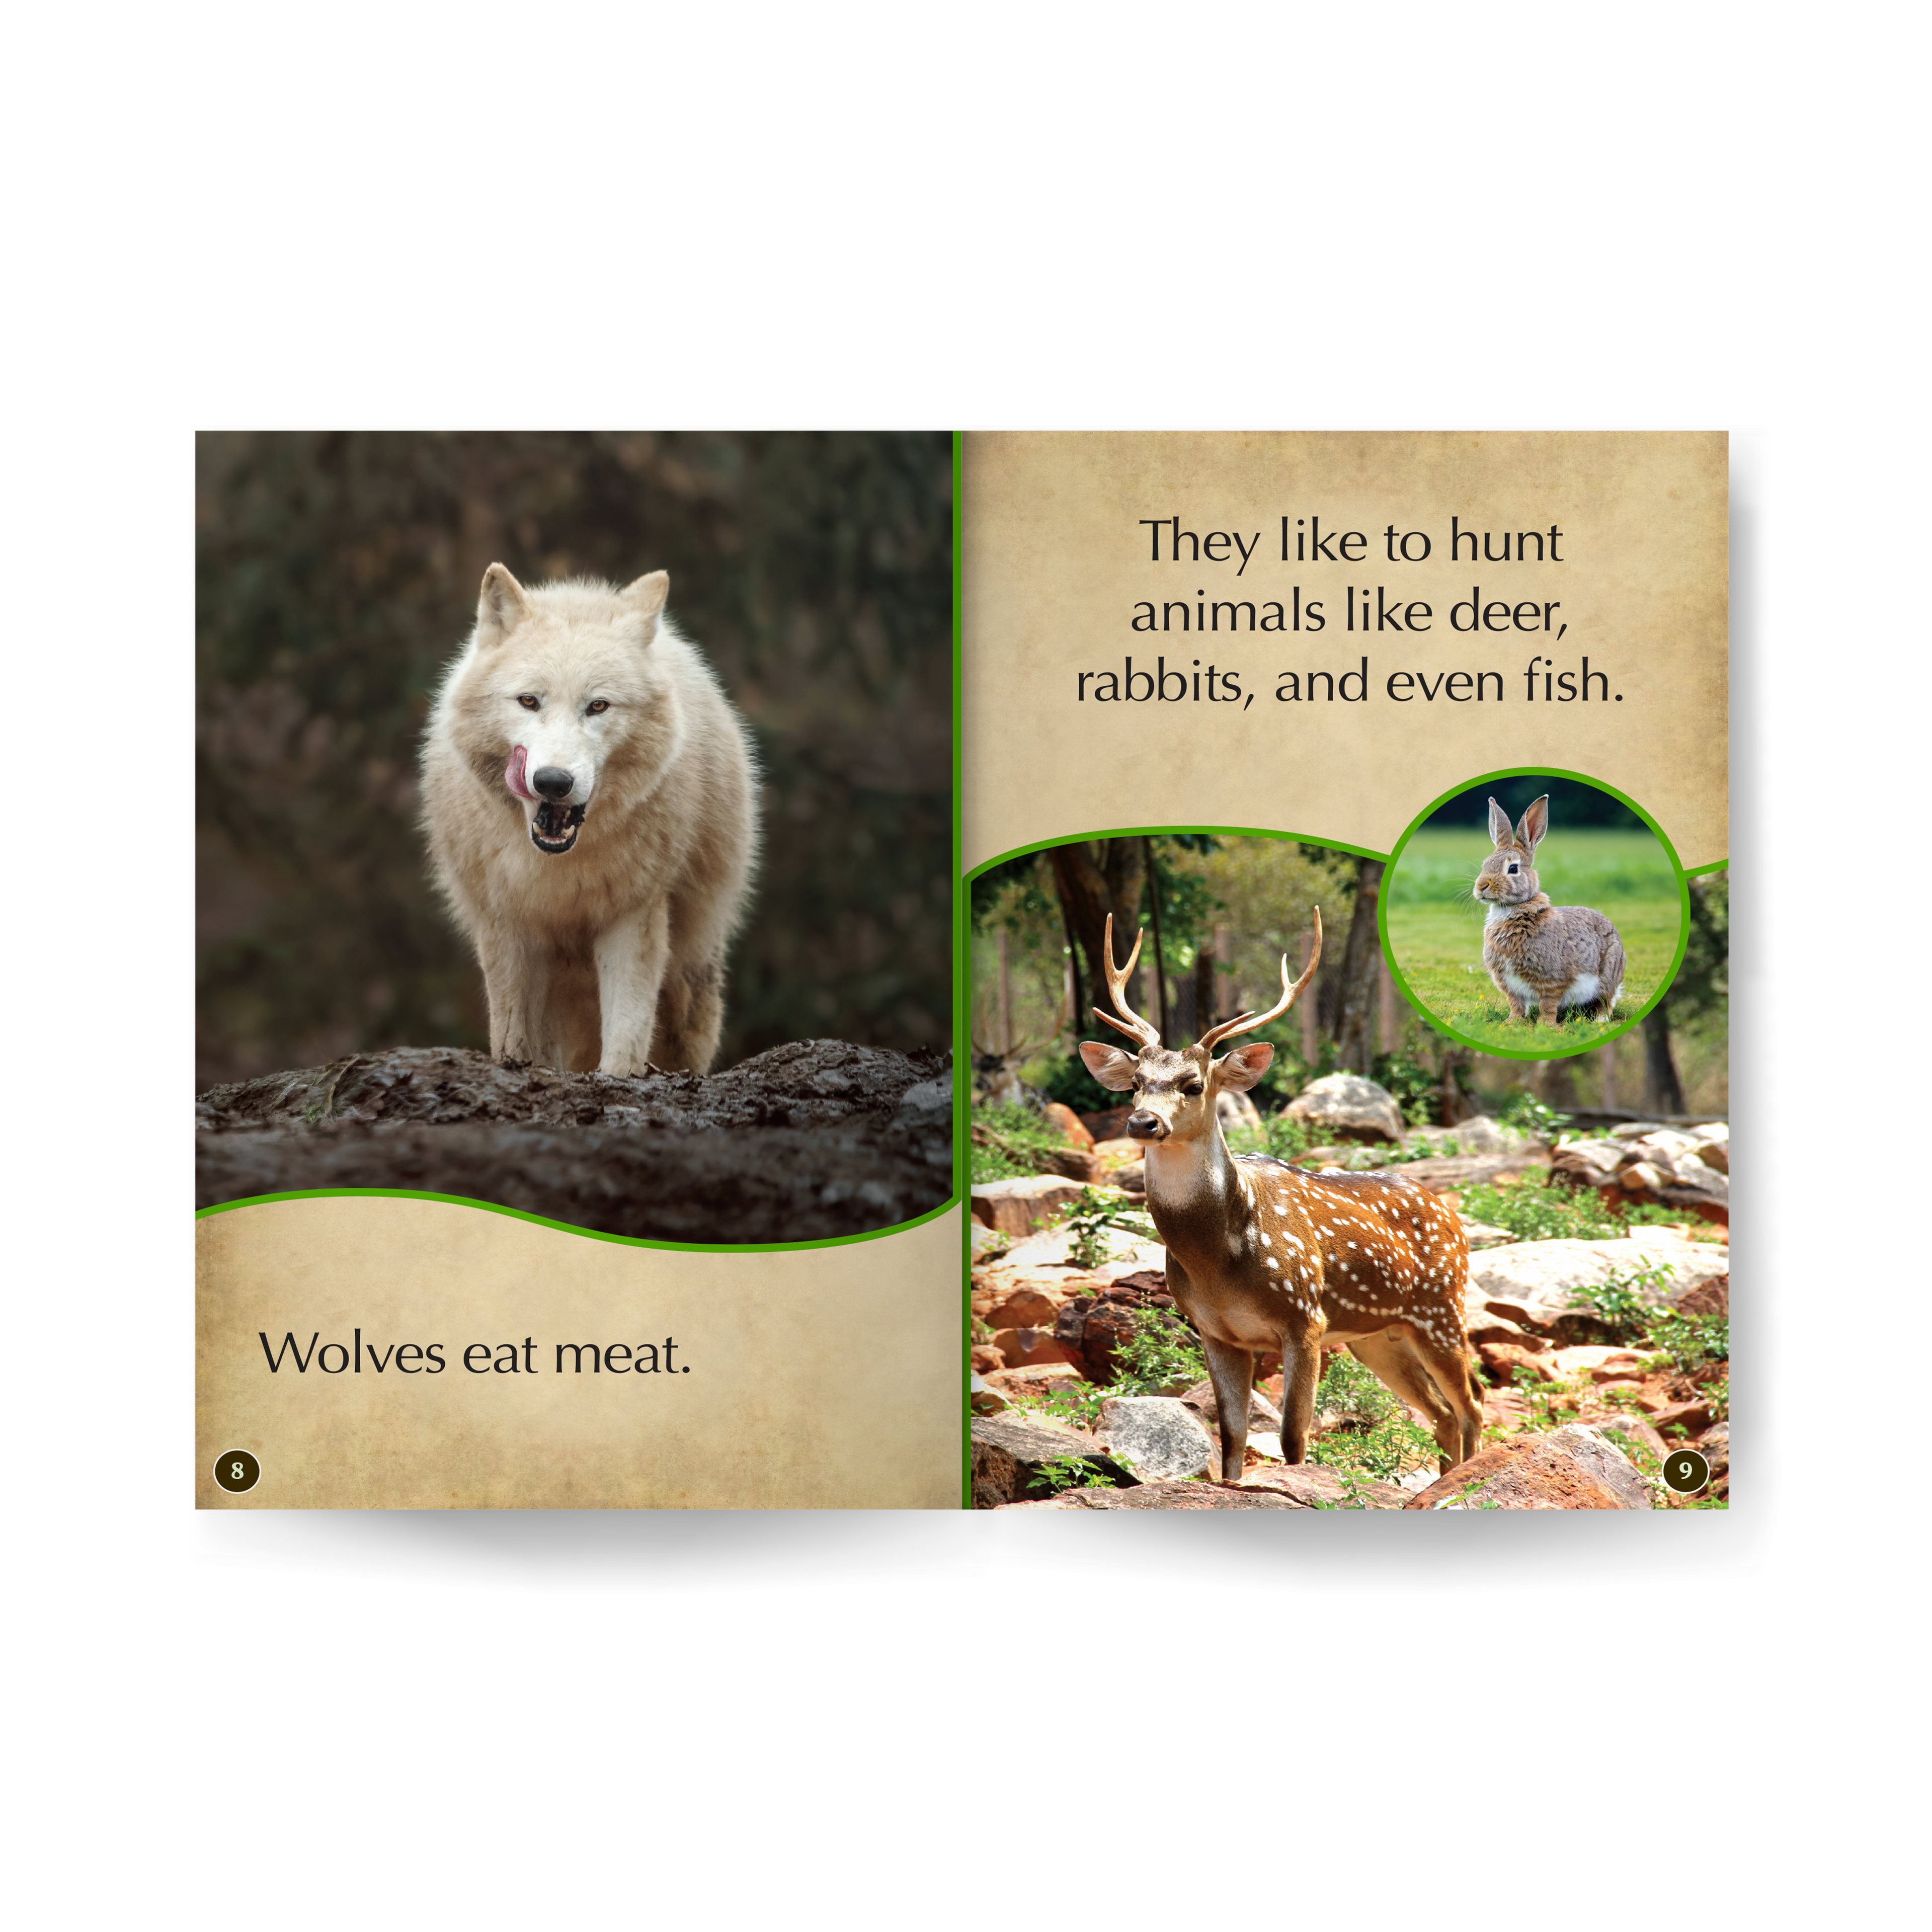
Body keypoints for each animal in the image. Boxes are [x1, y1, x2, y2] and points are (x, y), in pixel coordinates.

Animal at [420, 562, 757, 1076]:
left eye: (597, 706)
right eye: (529, 701)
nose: (553, 782)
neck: (559, 867)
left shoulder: (633, 914)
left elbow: (627, 1030)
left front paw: (619, 1078)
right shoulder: (506, 923)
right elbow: (512, 1035)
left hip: (689, 981)